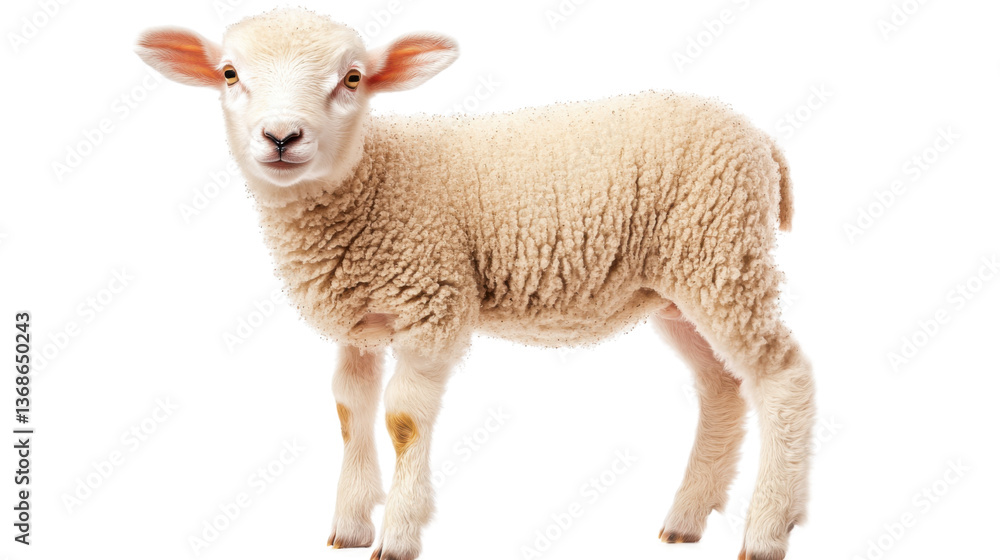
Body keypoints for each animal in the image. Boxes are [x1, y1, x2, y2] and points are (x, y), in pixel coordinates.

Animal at [136, 8, 815, 560]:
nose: (281, 137)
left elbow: (403, 420)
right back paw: (686, 519)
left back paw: (768, 529)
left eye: (352, 79)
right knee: (722, 386)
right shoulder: (360, 321)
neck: (372, 181)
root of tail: (760, 140)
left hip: (721, 254)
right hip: (681, 288)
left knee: (782, 375)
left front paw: (398, 536)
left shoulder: (433, 300)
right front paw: (349, 527)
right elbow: (350, 410)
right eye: (230, 74)